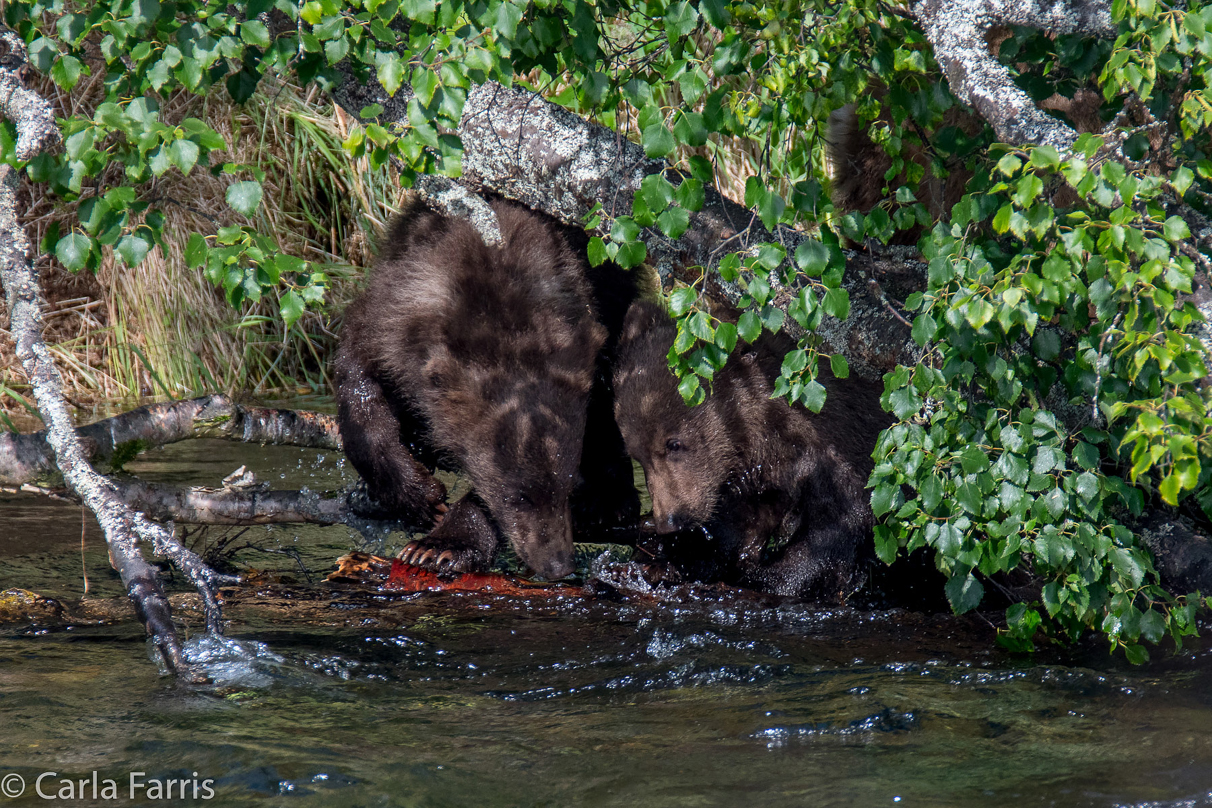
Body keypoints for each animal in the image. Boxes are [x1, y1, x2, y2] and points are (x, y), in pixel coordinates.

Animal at [332, 202, 635, 581]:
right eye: (519, 496)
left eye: (566, 488)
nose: (558, 564)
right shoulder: (388, 316)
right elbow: (356, 378)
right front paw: (421, 497)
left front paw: (442, 547)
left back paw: (609, 500)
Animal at [615, 299, 892, 600]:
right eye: (637, 454)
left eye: (674, 443)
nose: (670, 521)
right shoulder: (754, 477)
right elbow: (738, 526)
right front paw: (668, 562)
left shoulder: (845, 449)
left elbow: (835, 528)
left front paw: (766, 579)